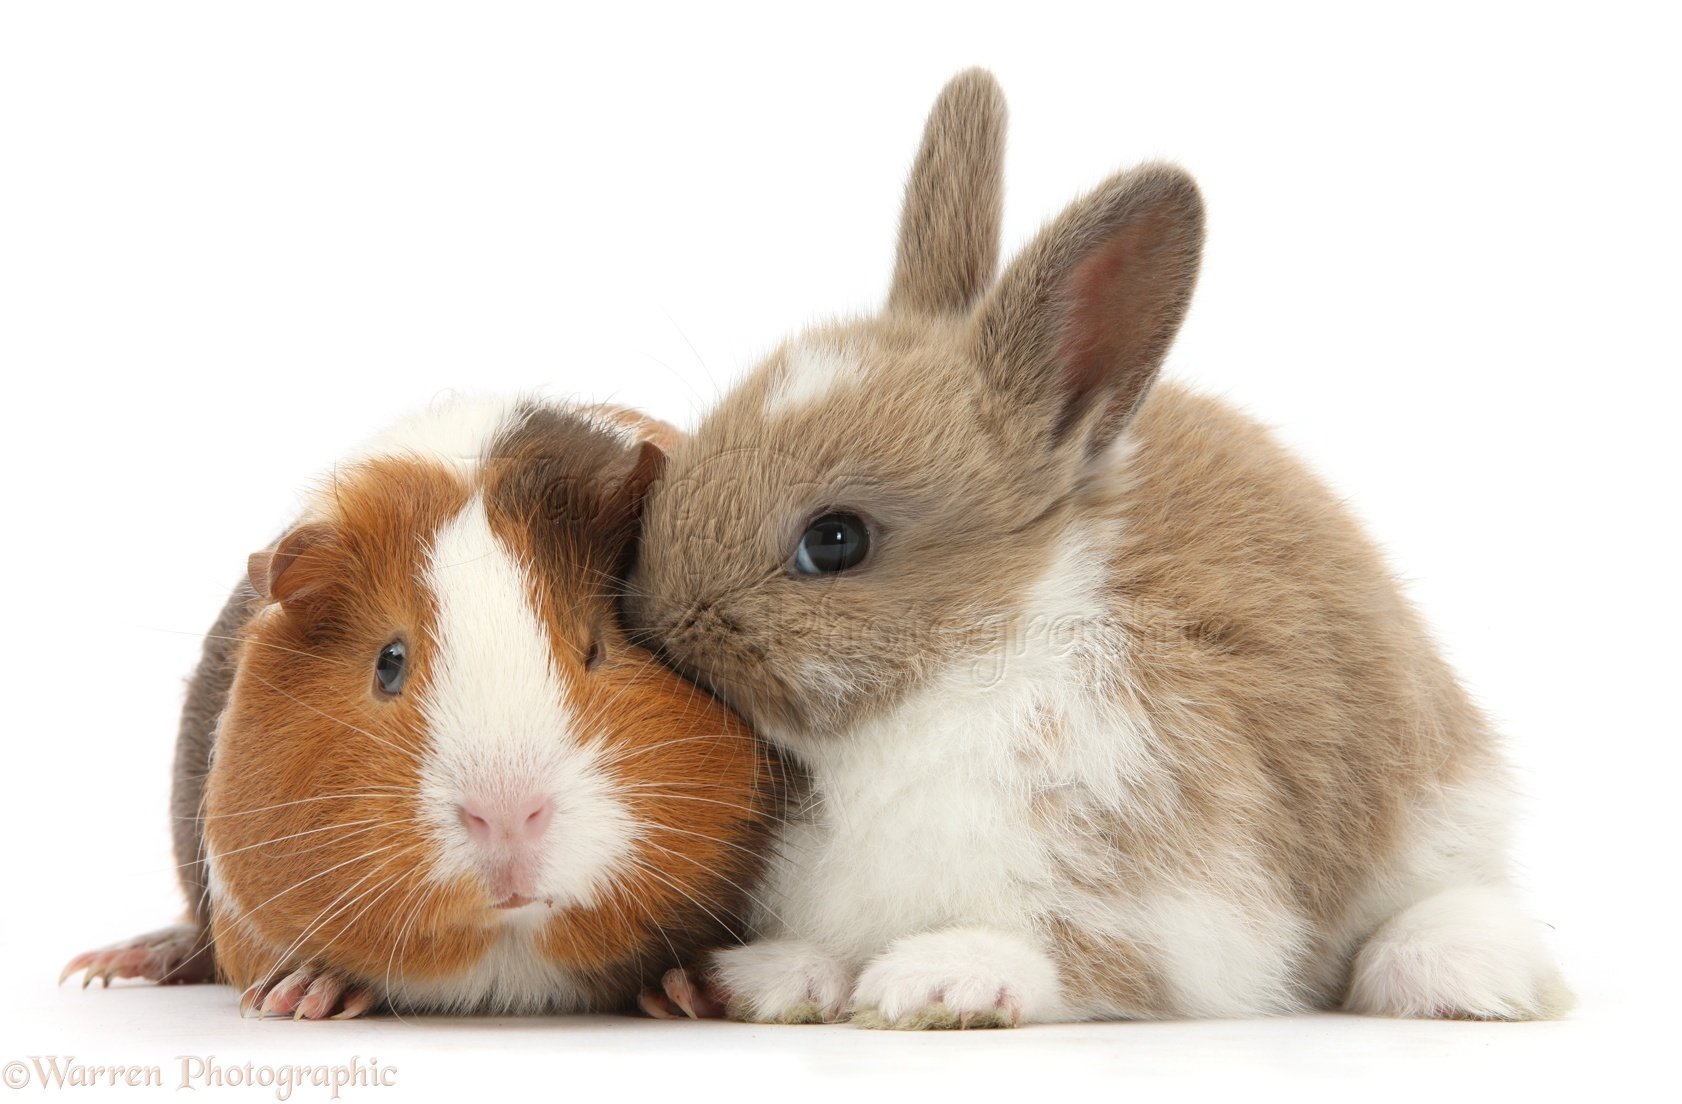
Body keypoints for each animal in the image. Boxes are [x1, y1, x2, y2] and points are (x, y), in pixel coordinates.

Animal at [625, 73, 1567, 1029]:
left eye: (835, 540)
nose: (654, 613)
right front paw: (768, 977)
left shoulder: (1175, 894)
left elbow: (1081, 954)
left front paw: (941, 980)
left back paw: (1448, 971)